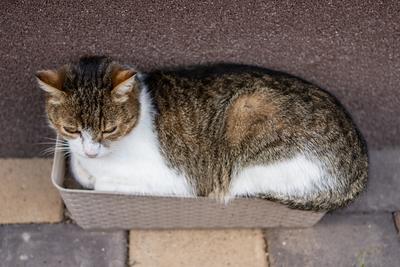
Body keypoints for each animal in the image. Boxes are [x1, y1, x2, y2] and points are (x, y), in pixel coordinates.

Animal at [36, 56, 368, 211]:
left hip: (248, 124)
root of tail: (360, 164)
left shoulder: (176, 181)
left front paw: (96, 176)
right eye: (70, 129)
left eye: (109, 129)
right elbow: (79, 168)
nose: (91, 150)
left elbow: (101, 182)